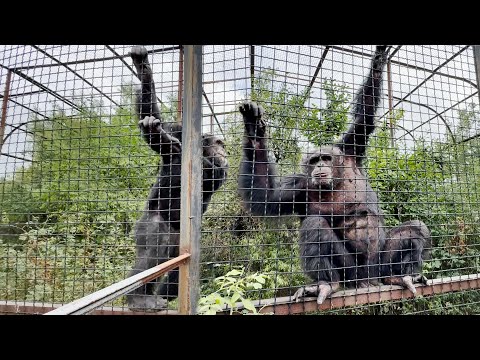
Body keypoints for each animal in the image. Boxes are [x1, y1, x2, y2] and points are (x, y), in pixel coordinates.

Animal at [125, 45, 227, 310]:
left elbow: (209, 171)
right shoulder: (179, 130)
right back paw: (139, 297)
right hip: (148, 223)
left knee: (164, 258)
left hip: (177, 241)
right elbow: (155, 122)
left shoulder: (221, 171)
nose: (224, 149)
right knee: (153, 248)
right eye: (219, 142)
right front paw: (144, 68)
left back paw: (143, 297)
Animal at [240, 45, 432, 304]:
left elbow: (364, 116)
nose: (320, 166)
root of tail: (367, 280)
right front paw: (254, 132)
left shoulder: (351, 147)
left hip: (380, 263)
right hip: (351, 272)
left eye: (326, 158)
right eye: (313, 160)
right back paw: (326, 284)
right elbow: (267, 197)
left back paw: (400, 276)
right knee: (315, 227)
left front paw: (380, 57)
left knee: (415, 229)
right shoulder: (298, 187)